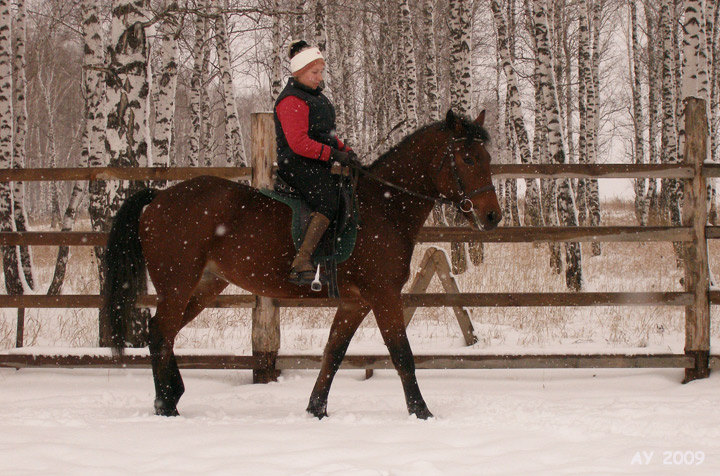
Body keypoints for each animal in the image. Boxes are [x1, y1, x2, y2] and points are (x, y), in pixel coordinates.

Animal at [105, 109, 500, 418]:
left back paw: (173, 395)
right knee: (160, 332)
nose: (492, 216)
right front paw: (422, 412)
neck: (384, 207)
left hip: (205, 285)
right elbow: (401, 353)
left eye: (486, 158)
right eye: (467, 159)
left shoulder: (356, 302)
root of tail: (158, 198)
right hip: (177, 283)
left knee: (165, 332)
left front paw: (316, 409)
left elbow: (333, 352)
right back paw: (165, 404)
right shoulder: (383, 294)